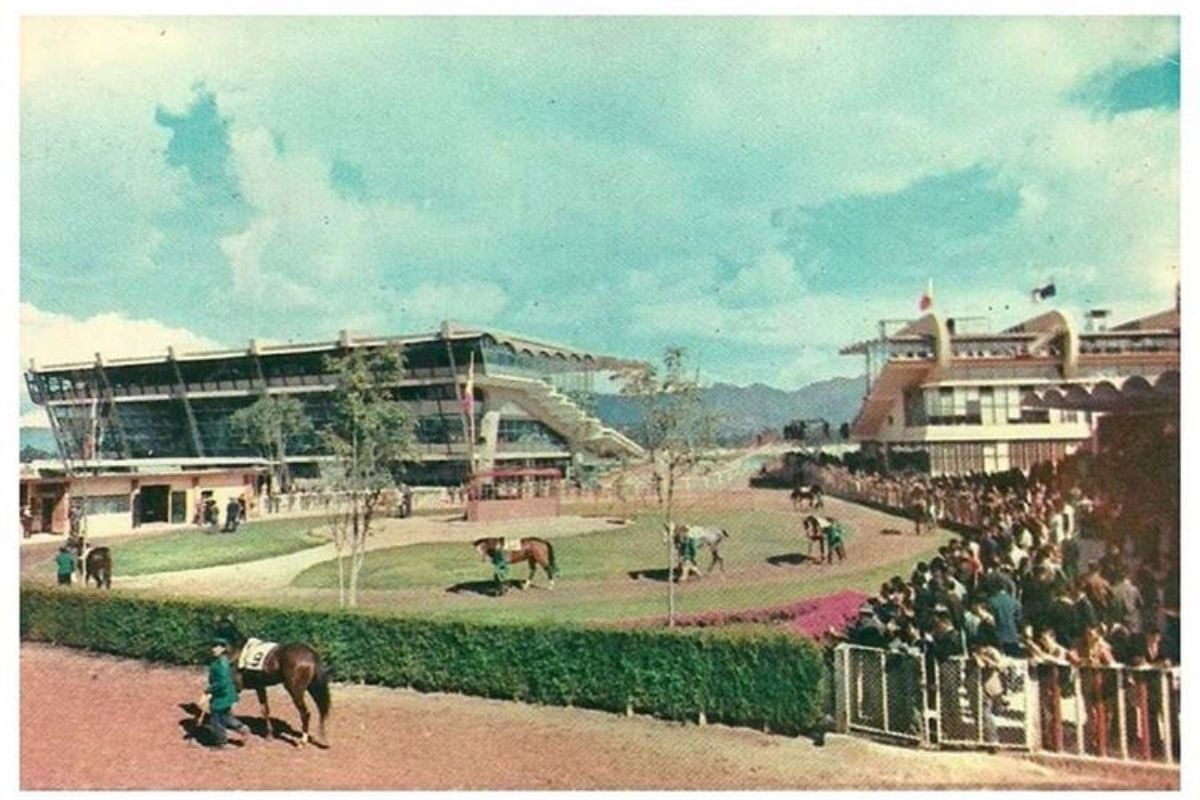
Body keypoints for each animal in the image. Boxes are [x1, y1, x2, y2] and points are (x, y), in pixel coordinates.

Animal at [212, 618, 333, 748]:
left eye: (216, 628)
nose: (212, 649)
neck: (238, 651)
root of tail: (311, 654)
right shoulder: (259, 687)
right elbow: (265, 710)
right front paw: (269, 735)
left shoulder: (237, 687)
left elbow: (228, 709)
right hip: (312, 687)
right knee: (321, 710)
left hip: (295, 690)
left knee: (305, 713)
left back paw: (302, 742)